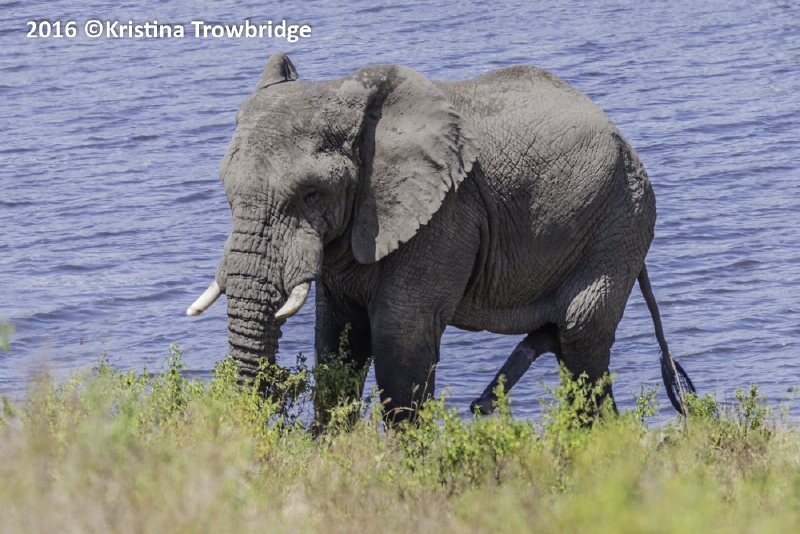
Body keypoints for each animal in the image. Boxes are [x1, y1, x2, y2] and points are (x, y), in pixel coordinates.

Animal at [187, 52, 695, 421]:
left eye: (312, 194)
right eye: (226, 190)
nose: (272, 398)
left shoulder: (445, 215)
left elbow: (399, 337)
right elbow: (339, 339)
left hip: (620, 219)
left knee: (581, 341)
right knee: (563, 340)